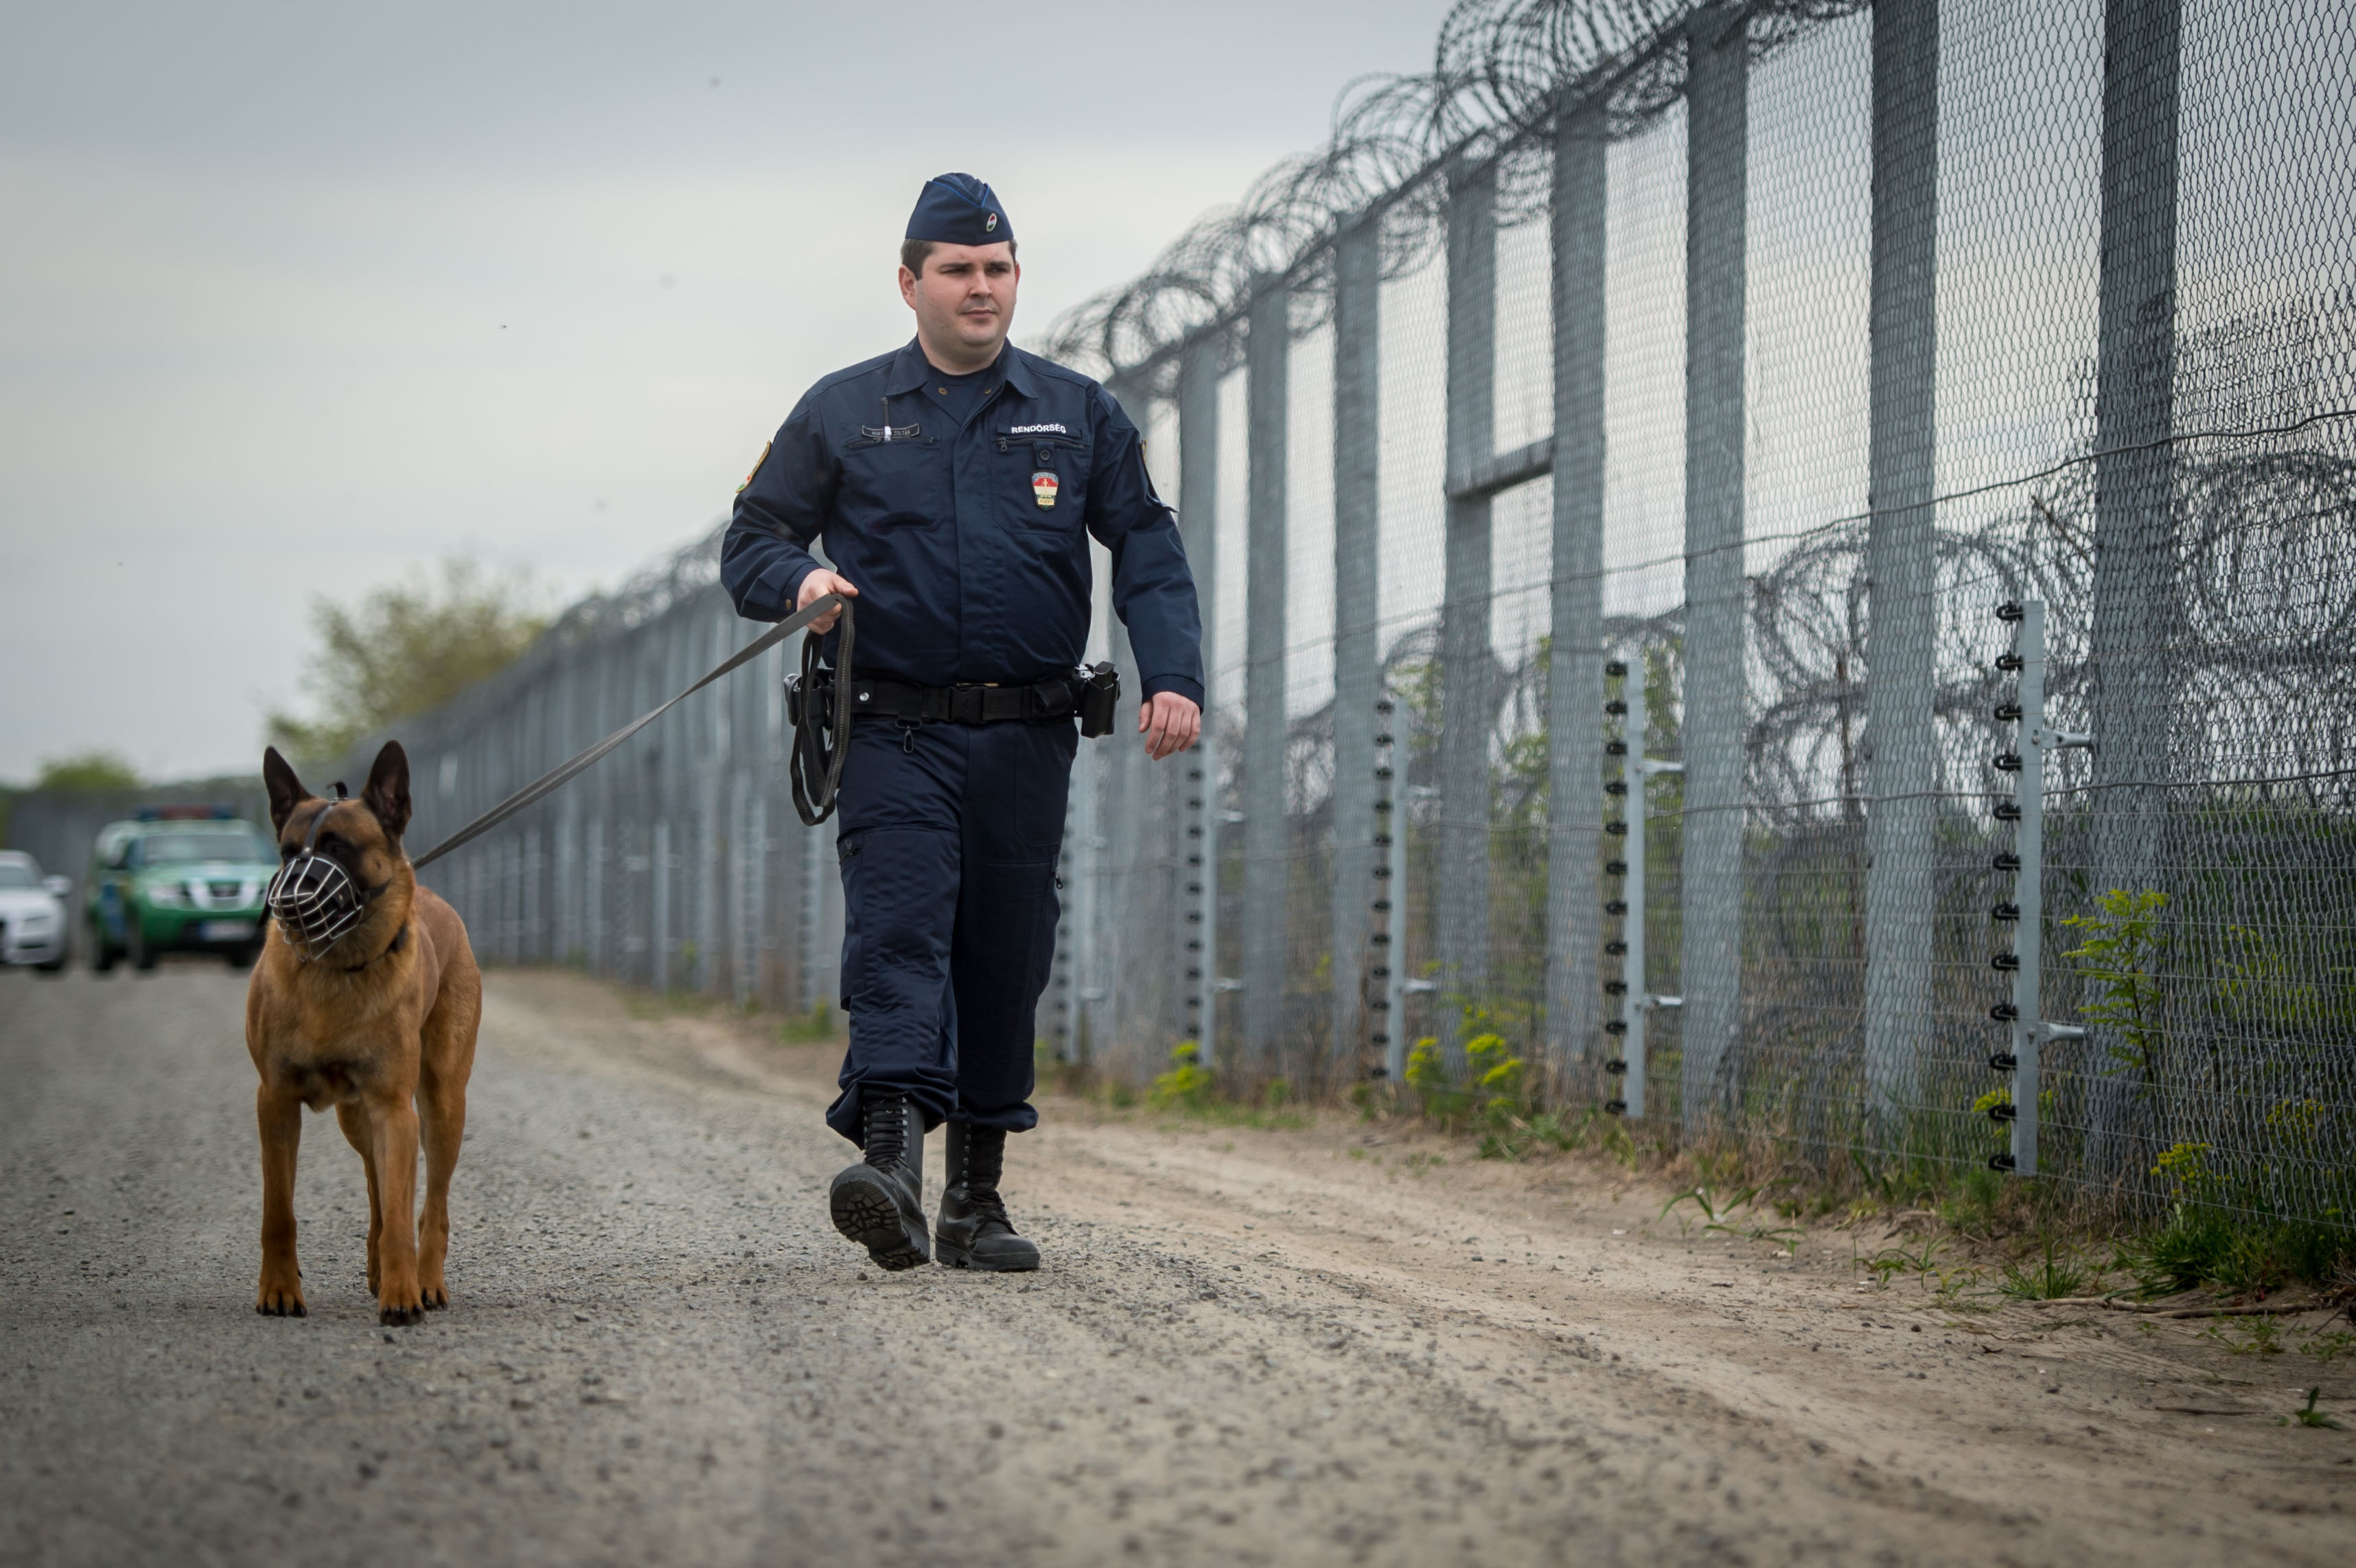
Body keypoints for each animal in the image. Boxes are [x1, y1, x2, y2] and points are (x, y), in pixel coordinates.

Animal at [249, 743, 478, 1318]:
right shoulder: (275, 1102)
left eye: (338, 847)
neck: (336, 971)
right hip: (356, 1118)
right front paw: (279, 1289)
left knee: (430, 1205)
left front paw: (402, 1295)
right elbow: (279, 1212)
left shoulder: (394, 1108)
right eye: (288, 853)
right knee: (377, 1188)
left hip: (440, 1108)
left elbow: (401, 1215)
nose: (288, 901)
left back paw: (425, 1280)